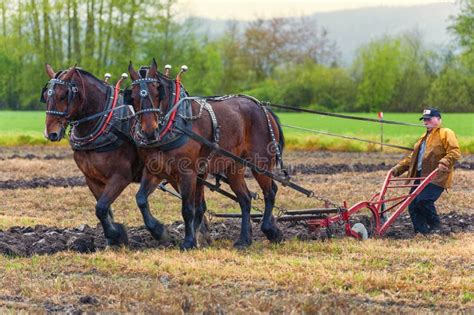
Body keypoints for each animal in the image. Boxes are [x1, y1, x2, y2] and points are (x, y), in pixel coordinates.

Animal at [128, 59, 286, 251]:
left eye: (157, 92)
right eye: (133, 97)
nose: (149, 132)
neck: (174, 123)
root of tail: (263, 108)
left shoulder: (188, 172)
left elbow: (188, 209)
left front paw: (189, 242)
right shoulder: (154, 170)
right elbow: (141, 199)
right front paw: (159, 231)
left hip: (260, 163)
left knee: (270, 192)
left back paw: (270, 230)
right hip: (234, 167)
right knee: (245, 199)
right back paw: (243, 240)